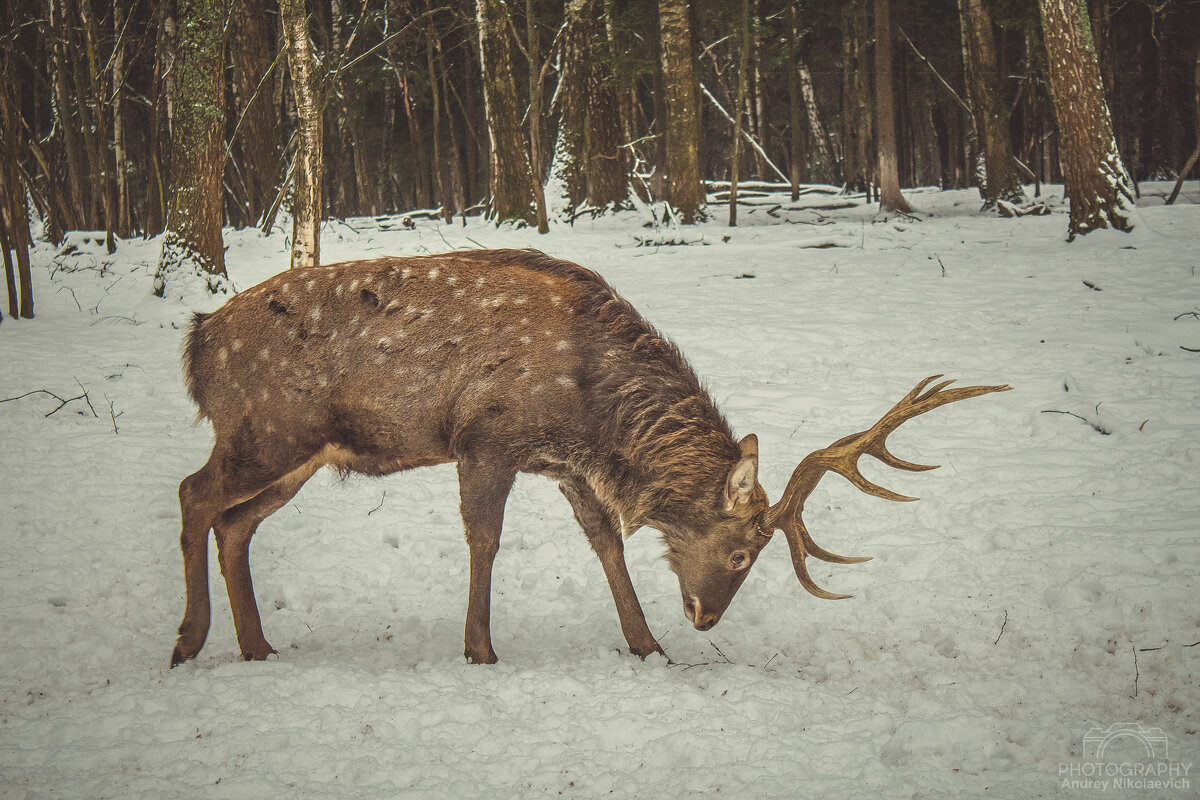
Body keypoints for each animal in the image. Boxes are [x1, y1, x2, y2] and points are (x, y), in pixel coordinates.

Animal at [171, 247, 1012, 666]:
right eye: (744, 552)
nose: (705, 617)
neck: (592, 406)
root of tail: (199, 344)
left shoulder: (563, 464)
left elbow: (607, 541)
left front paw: (647, 645)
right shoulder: (486, 437)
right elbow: (485, 539)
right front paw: (480, 649)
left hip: (296, 454)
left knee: (234, 522)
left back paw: (257, 645)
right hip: (267, 430)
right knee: (193, 494)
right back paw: (189, 641)